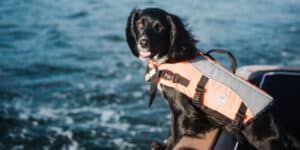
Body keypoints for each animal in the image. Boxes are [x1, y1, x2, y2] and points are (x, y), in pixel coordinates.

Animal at [125, 7, 300, 149]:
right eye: (140, 25)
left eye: (159, 27)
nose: (143, 42)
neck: (170, 58)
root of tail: (280, 129)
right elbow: (170, 132)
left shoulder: (183, 111)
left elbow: (175, 134)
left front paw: (168, 146)